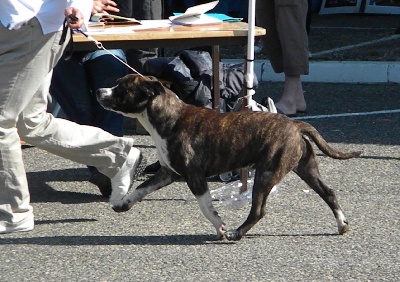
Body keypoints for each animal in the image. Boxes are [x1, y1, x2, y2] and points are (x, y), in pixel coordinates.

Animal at [97, 74, 362, 240]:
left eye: (121, 87)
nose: (99, 90)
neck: (169, 117)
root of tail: (296, 125)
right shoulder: (168, 173)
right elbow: (141, 189)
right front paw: (123, 203)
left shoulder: (194, 177)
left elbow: (206, 207)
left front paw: (220, 229)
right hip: (306, 168)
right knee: (329, 193)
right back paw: (342, 224)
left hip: (266, 174)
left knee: (258, 210)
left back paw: (237, 233)